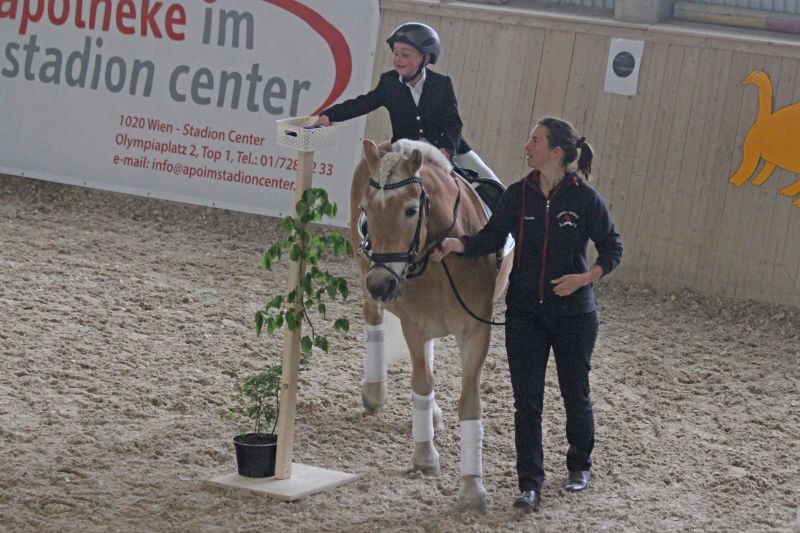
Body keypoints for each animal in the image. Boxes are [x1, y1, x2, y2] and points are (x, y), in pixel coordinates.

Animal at [349, 138, 512, 513]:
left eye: (411, 210)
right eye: (367, 210)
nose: (382, 284)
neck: (441, 260)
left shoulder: (476, 331)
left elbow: (470, 402)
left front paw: (472, 487)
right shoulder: (414, 325)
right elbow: (421, 384)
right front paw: (425, 457)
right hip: (365, 272)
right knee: (373, 319)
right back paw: (375, 391)